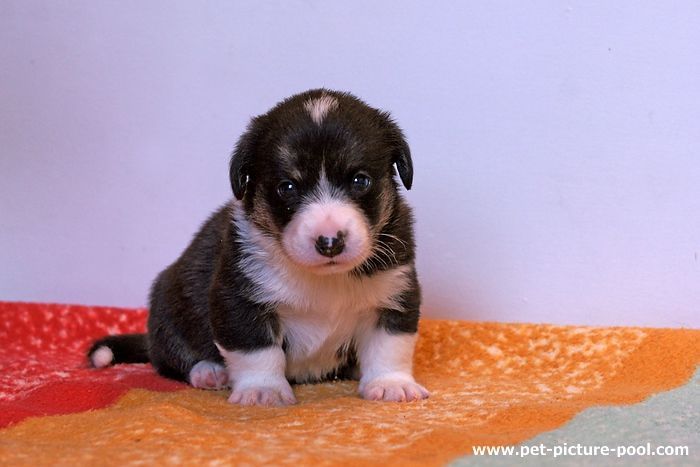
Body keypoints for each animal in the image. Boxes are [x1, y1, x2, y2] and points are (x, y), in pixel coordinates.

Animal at [88, 89, 429, 406]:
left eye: (360, 180)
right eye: (286, 187)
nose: (329, 242)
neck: (323, 278)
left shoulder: (395, 292)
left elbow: (390, 345)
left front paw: (391, 384)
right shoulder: (238, 299)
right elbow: (258, 349)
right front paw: (264, 391)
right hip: (167, 307)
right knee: (170, 359)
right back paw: (209, 371)